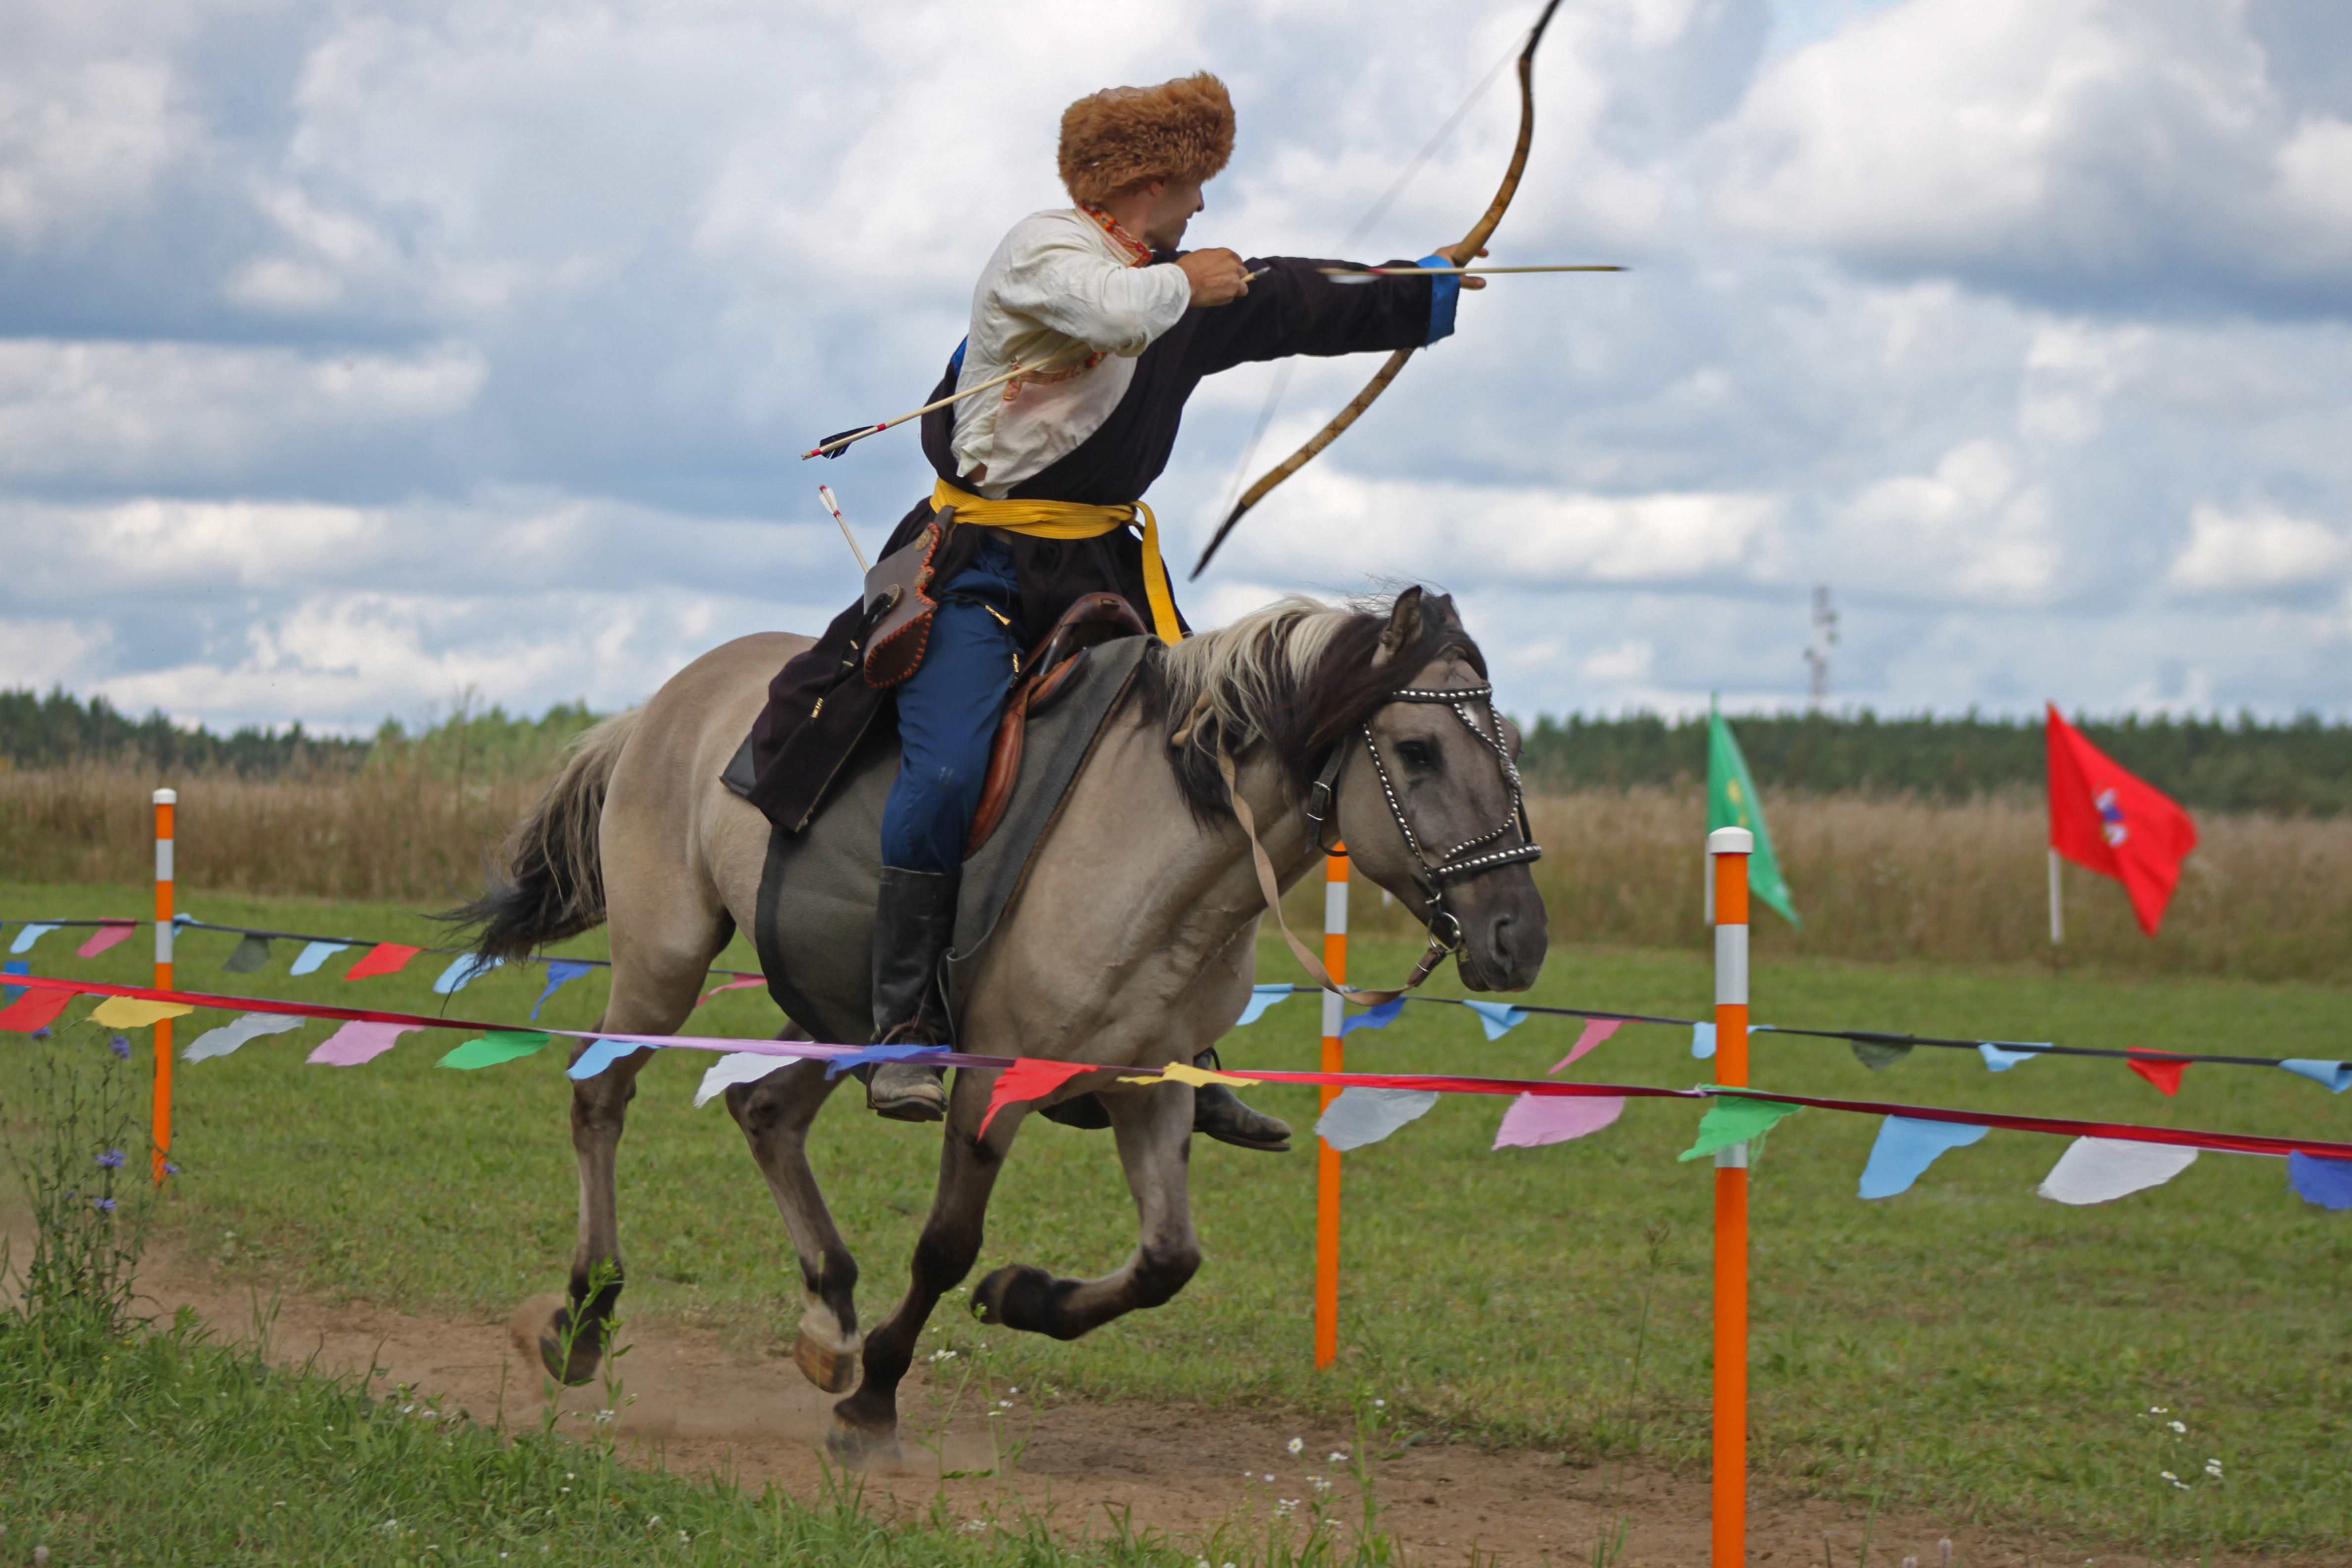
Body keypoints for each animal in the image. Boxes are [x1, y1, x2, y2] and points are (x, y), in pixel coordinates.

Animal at [456, 588, 1543, 1457]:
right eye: (1416, 751)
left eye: (1514, 752)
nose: (1517, 937)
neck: (1156, 857)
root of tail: (665, 702)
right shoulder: (990, 1085)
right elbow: (945, 1244)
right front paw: (877, 1401)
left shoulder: (1149, 1089)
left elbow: (1167, 1261)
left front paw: (1021, 1296)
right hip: (664, 961)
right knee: (601, 1096)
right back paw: (586, 1318)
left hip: (839, 1010)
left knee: (764, 1110)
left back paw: (828, 1317)